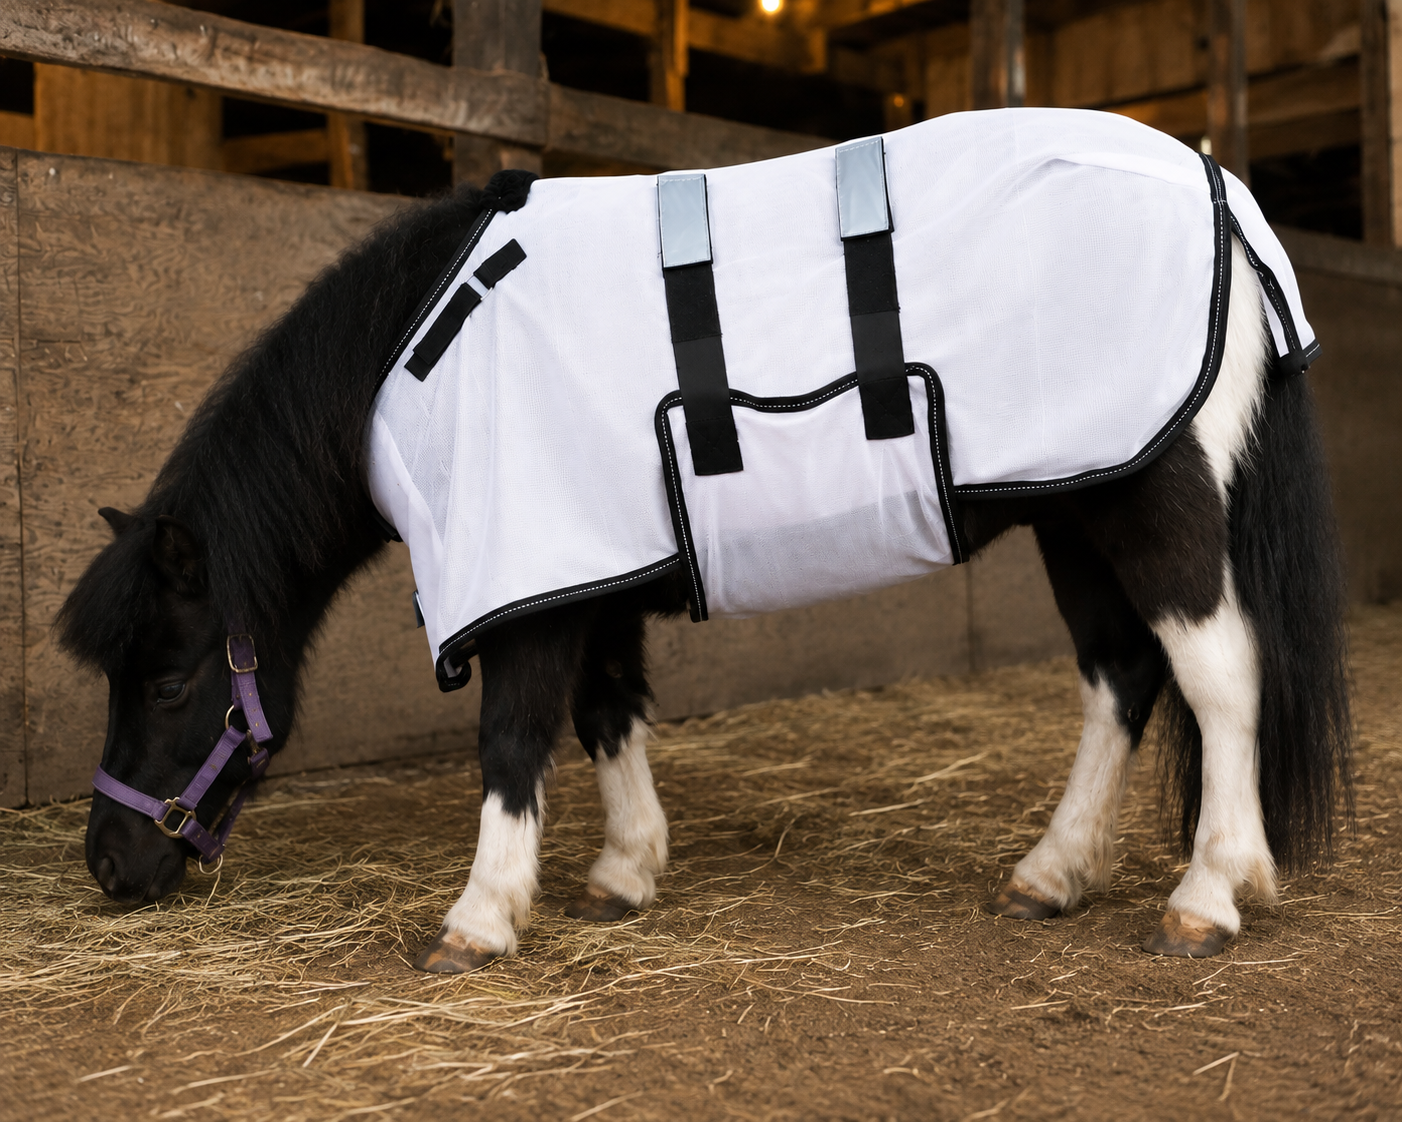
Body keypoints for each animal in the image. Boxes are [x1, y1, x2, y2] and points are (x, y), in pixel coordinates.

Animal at [59, 118, 1351, 975]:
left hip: (1151, 503)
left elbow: (512, 737)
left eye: (167, 681)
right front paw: (624, 871)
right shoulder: (590, 572)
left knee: (1218, 675)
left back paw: (1207, 893)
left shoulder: (531, 583)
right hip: (1073, 506)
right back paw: (1053, 874)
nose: (109, 865)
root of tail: (1217, 192)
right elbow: (607, 713)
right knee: (1121, 677)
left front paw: (479, 919)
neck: (422, 345)